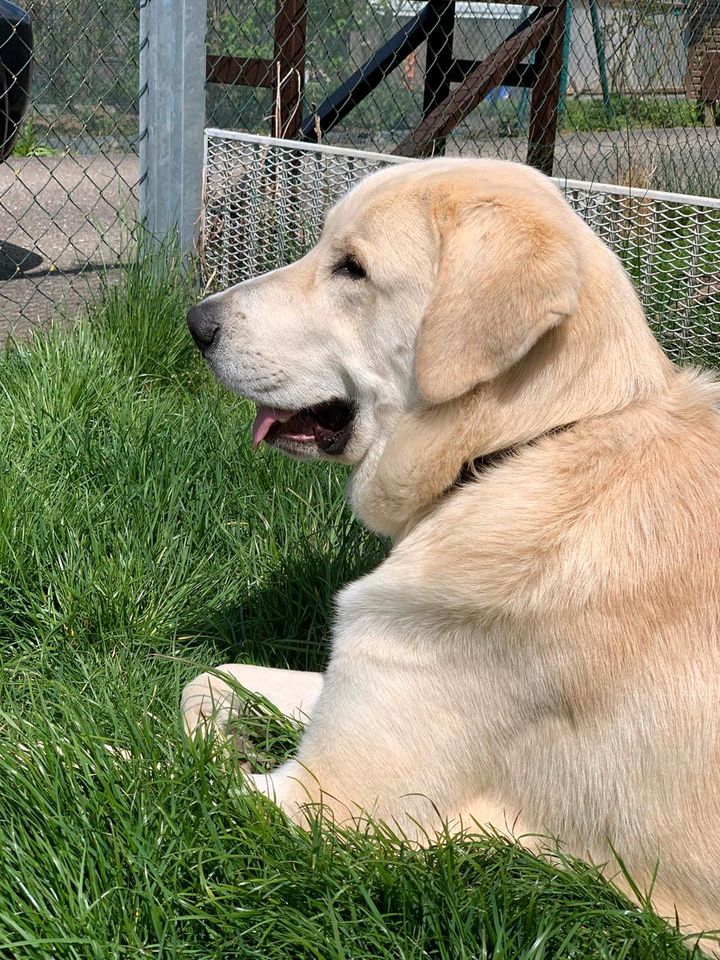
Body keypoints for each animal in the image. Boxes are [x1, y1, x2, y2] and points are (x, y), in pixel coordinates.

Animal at [184, 159, 720, 944]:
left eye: (352, 268)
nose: (196, 323)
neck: (516, 450)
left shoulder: (327, 803)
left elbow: (115, 767)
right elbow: (207, 680)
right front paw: (214, 735)